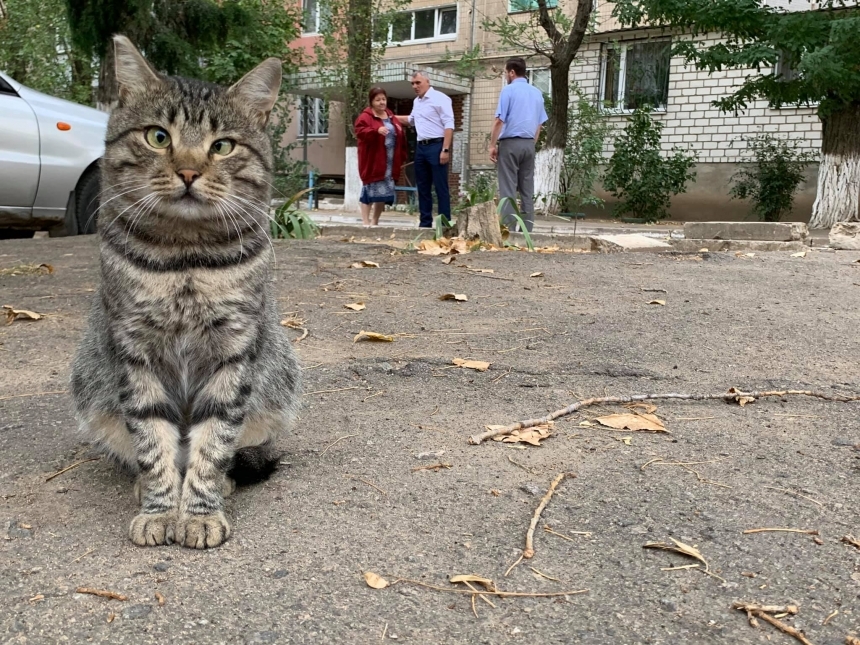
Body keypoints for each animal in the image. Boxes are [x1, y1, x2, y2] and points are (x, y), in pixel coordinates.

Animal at [69, 36, 302, 548]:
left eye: (222, 146)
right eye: (159, 137)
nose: (190, 173)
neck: (185, 257)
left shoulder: (233, 350)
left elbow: (213, 443)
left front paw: (199, 512)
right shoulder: (134, 349)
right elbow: (153, 442)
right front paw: (160, 509)